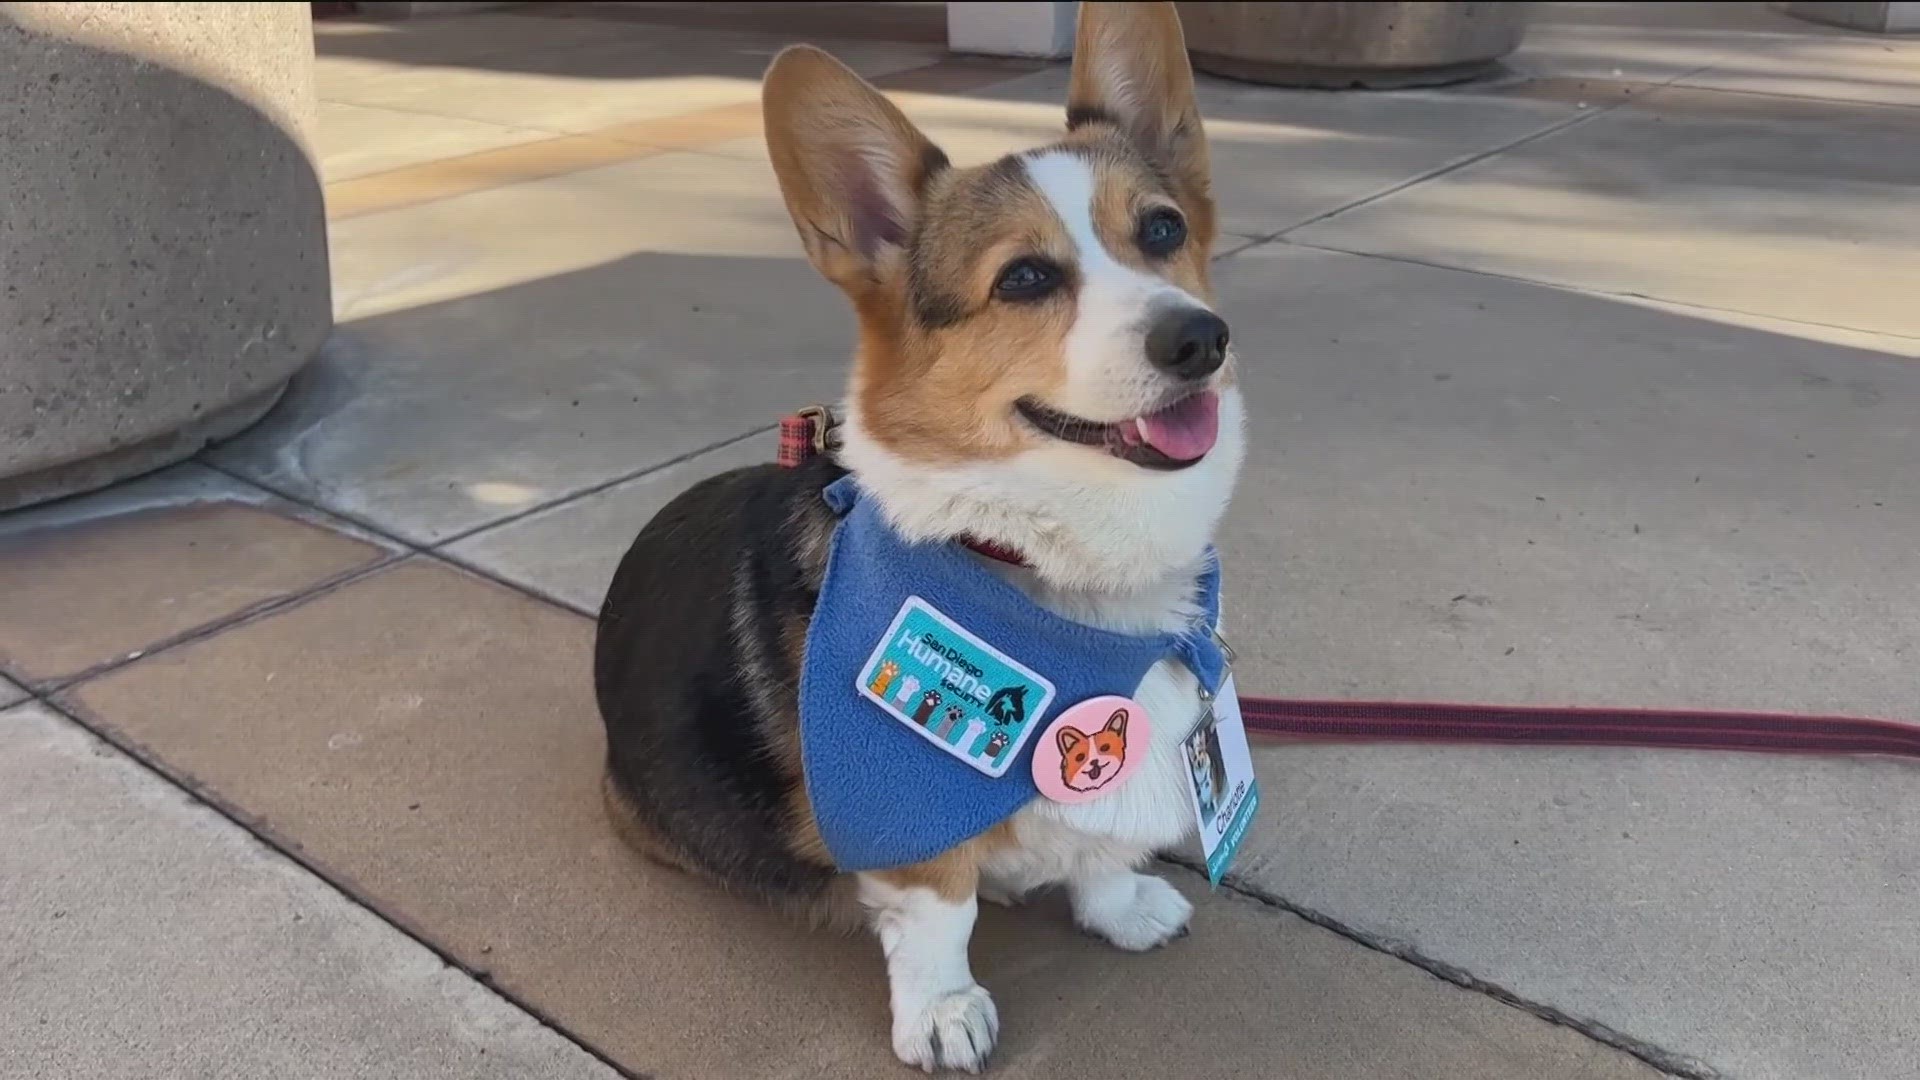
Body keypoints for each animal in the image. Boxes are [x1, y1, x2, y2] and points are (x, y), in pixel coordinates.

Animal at [595, 4, 1244, 1068]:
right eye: (1023, 278)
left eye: (1163, 229)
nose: (1198, 339)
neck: (1036, 563)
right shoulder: (903, 803)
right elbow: (940, 909)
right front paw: (942, 1011)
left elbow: (1099, 845)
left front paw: (1120, 907)